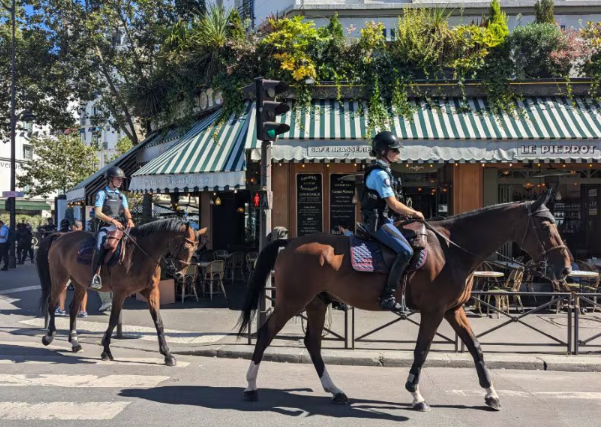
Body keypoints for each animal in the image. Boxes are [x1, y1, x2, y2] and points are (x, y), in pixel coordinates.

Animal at [36, 219, 200, 366]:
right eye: (186, 247)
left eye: (194, 249)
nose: (179, 274)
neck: (140, 254)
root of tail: (61, 236)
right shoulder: (120, 292)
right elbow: (113, 319)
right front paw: (106, 350)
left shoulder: (152, 292)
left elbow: (158, 322)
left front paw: (167, 354)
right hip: (60, 279)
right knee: (52, 305)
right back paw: (49, 336)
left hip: (79, 284)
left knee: (73, 309)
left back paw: (75, 343)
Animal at [237, 193, 568, 412]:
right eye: (546, 227)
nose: (565, 267)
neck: (451, 251)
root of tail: (290, 241)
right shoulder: (434, 311)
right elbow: (421, 350)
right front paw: (415, 394)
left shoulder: (454, 309)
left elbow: (476, 348)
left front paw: (491, 394)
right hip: (292, 301)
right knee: (265, 334)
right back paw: (251, 386)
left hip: (317, 303)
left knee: (313, 344)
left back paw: (335, 391)